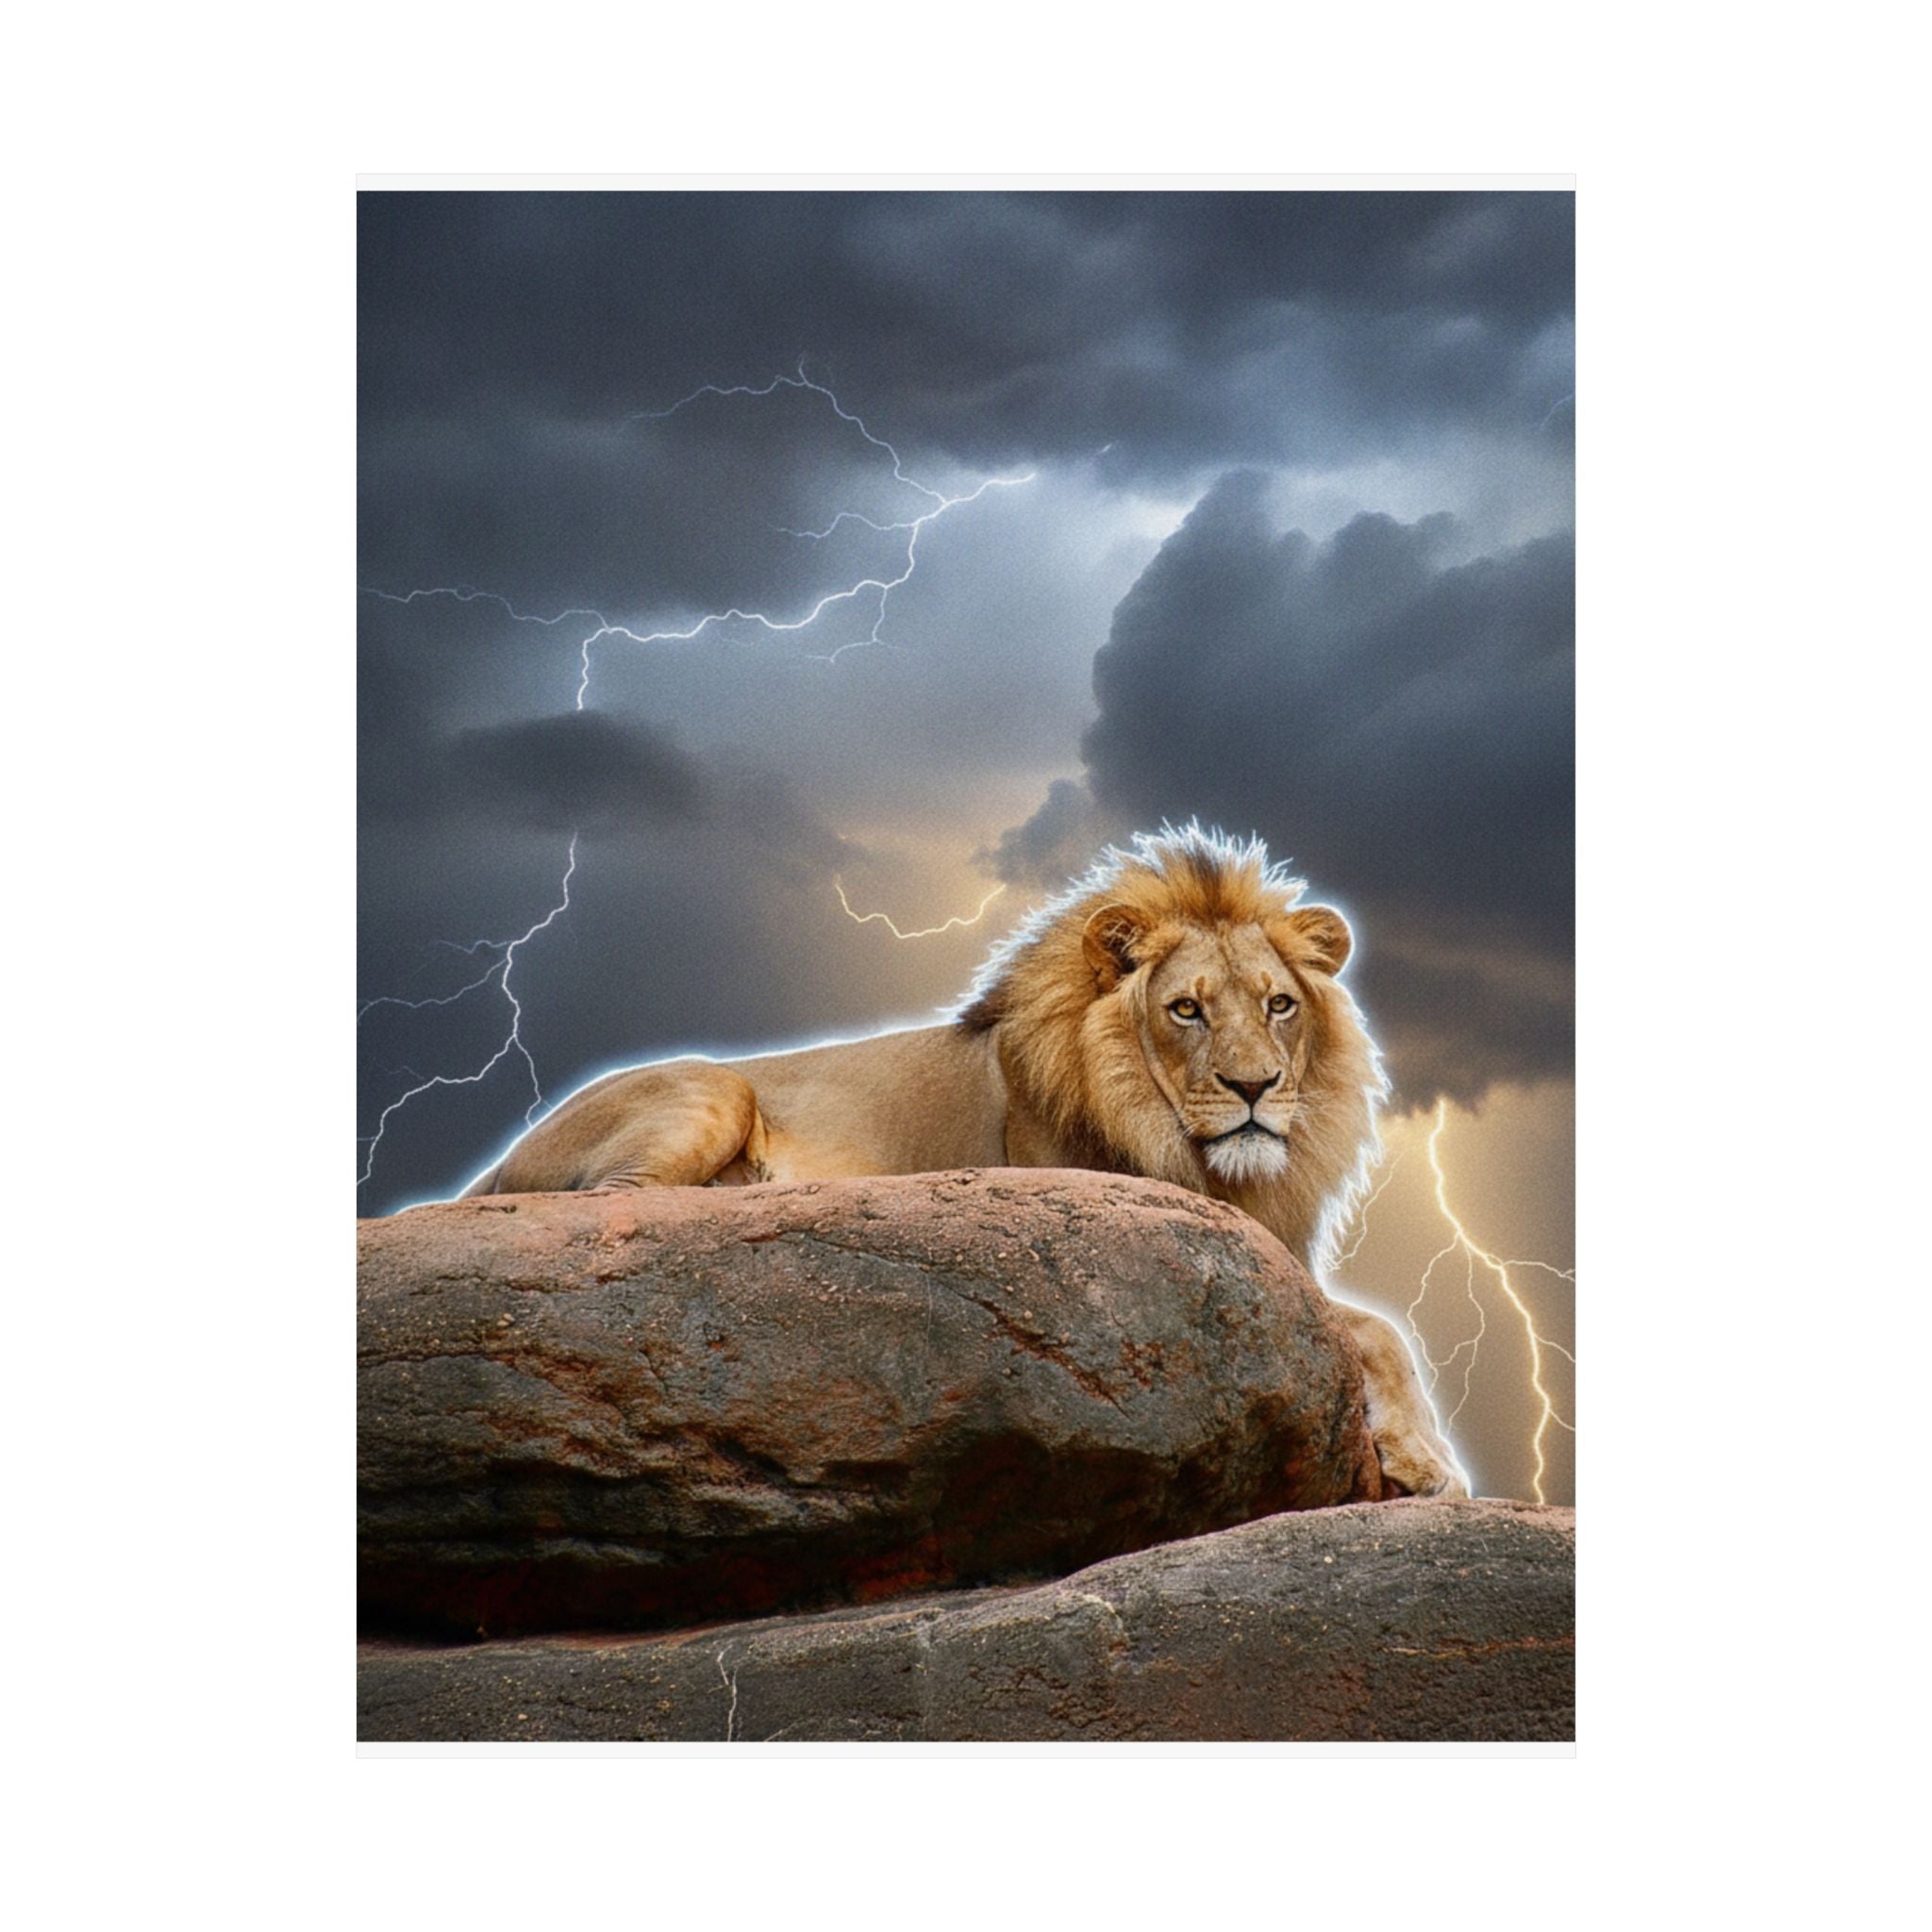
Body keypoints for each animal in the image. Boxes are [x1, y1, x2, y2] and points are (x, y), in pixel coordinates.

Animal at [462, 824, 1468, 1497]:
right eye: (1186, 1009)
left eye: (1278, 1005)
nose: (1255, 1087)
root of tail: (503, 1154)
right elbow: (1370, 1326)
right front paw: (1431, 1465)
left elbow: (1385, 1329)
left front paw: (1424, 1459)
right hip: (712, 1092)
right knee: (618, 1205)